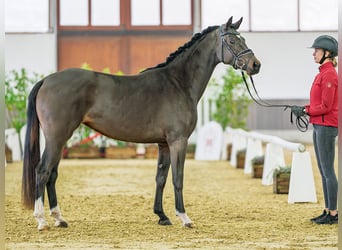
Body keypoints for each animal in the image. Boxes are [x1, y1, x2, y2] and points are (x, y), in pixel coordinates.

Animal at [22, 16, 260, 230]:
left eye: (243, 38)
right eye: (232, 40)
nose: (255, 65)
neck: (179, 83)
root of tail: (46, 80)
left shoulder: (164, 144)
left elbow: (161, 177)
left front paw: (162, 216)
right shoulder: (178, 141)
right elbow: (178, 178)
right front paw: (184, 218)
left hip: (61, 138)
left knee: (52, 174)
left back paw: (59, 219)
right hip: (57, 137)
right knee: (42, 171)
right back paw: (42, 220)